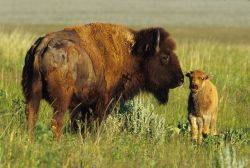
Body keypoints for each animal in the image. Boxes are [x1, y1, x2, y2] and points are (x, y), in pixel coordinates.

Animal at [22, 22, 184, 139]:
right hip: (61, 101)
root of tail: (41, 47)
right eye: (165, 57)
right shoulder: (103, 103)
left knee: (31, 116)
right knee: (56, 121)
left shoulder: (83, 105)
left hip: (32, 94)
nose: (181, 79)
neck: (131, 53)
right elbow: (95, 125)